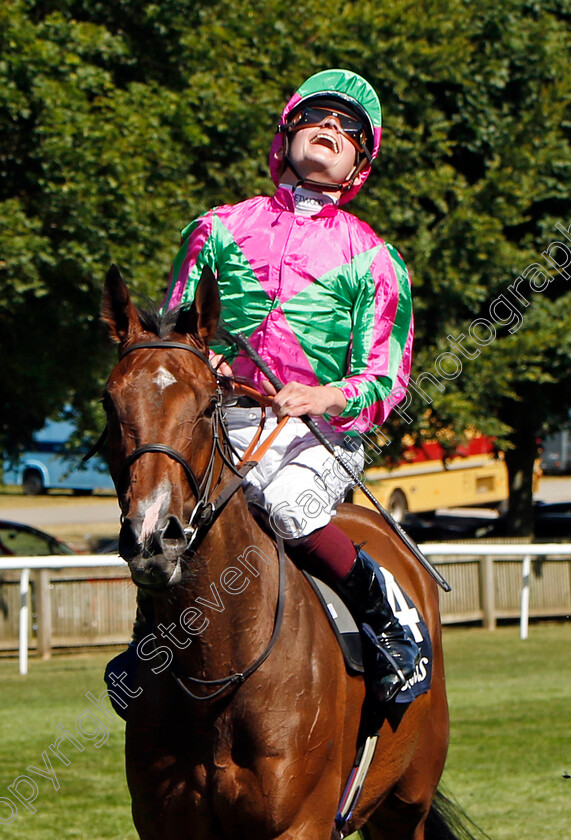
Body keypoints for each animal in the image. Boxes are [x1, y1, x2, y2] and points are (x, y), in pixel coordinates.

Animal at [101, 266, 460, 840]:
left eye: (208, 405)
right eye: (110, 403)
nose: (155, 536)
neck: (216, 671)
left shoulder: (299, 822)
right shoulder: (165, 823)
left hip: (408, 802)